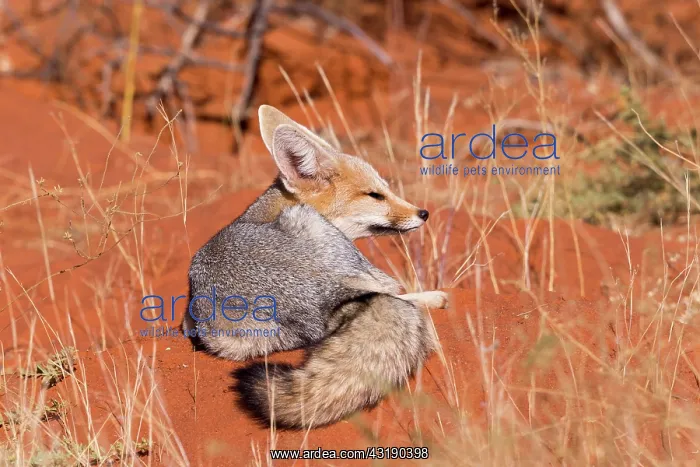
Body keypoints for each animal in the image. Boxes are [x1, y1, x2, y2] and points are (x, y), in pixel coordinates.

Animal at [185, 104, 447, 428]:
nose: (423, 213)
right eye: (375, 195)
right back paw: (436, 299)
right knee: (400, 297)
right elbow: (402, 293)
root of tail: (330, 292)